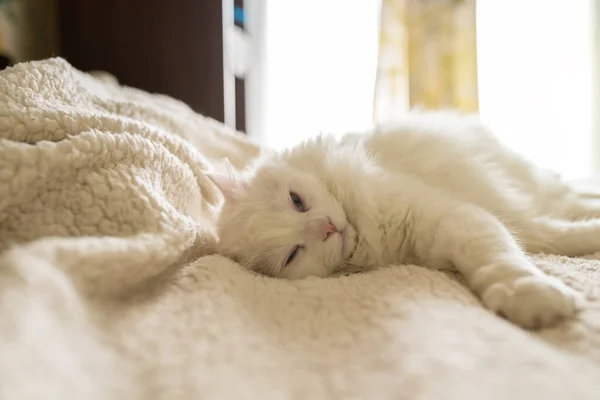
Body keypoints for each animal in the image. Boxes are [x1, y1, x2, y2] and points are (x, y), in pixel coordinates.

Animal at [211, 111, 596, 328]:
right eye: (291, 255)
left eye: (296, 201)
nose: (327, 227)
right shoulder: (471, 220)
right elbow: (540, 240)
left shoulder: (456, 216)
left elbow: (506, 257)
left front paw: (529, 291)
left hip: (537, 186)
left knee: (570, 198)